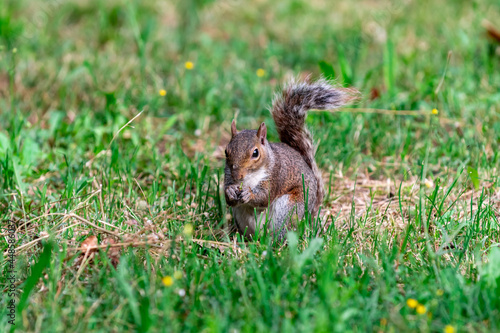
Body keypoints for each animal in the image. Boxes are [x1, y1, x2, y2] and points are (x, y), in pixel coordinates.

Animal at [223, 77, 356, 240]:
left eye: (255, 153)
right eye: (226, 151)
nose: (237, 176)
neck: (250, 177)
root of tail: (308, 217)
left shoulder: (276, 175)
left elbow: (265, 197)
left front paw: (250, 193)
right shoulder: (228, 175)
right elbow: (229, 199)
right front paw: (230, 191)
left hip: (288, 209)